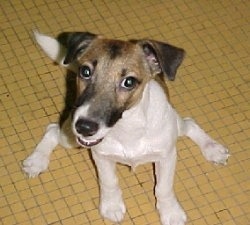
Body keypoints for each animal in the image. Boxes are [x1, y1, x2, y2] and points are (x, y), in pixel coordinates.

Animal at [22, 32, 229, 225]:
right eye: (85, 71)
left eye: (128, 82)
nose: (84, 127)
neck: (127, 127)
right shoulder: (100, 155)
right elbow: (109, 181)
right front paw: (112, 205)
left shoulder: (167, 156)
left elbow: (163, 187)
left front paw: (170, 212)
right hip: (69, 138)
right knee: (52, 130)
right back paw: (37, 161)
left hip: (176, 126)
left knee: (190, 124)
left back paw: (213, 149)